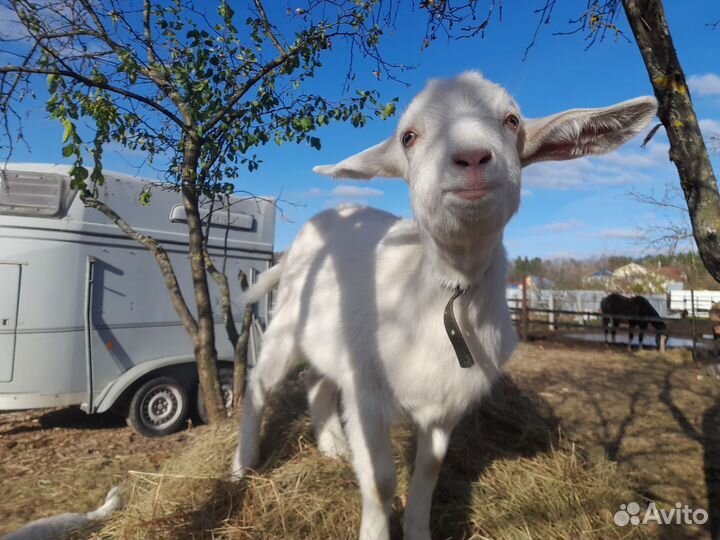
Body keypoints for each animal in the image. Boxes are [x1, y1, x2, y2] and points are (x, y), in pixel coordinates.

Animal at [231, 71, 657, 540]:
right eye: (408, 137)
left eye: (511, 120)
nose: (472, 157)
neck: (443, 292)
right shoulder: (367, 397)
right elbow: (380, 482)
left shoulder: (444, 407)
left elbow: (428, 475)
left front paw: (417, 529)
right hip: (286, 327)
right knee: (259, 385)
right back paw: (241, 468)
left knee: (315, 381)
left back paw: (332, 446)